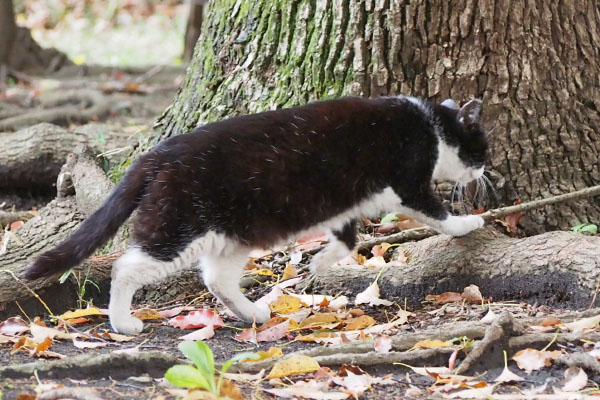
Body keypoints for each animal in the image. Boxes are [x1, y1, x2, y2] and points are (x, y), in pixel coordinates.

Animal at [25, 96, 490, 334]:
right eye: (481, 147)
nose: (487, 169)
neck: (431, 124)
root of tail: (156, 154)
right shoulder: (407, 180)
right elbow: (433, 211)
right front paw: (467, 222)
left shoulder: (342, 203)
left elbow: (346, 239)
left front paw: (318, 264)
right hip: (179, 224)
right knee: (127, 266)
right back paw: (124, 323)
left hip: (233, 232)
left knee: (216, 278)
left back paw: (253, 314)